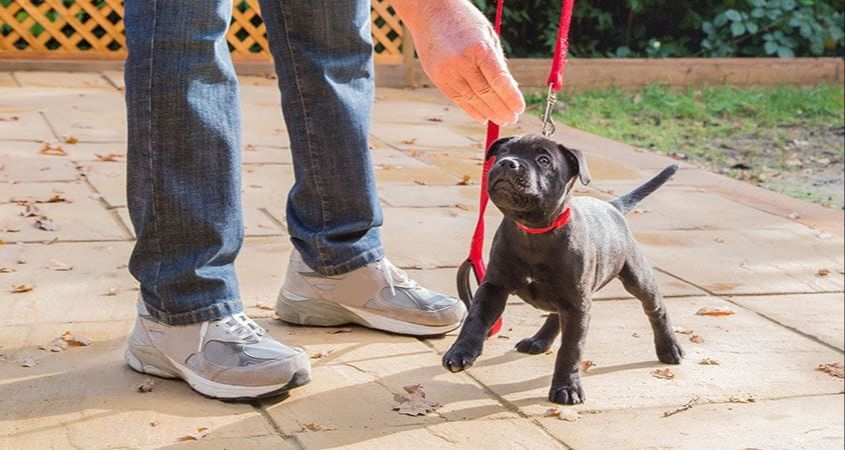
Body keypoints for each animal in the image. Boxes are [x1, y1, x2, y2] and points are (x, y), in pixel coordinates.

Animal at [446, 133, 684, 404]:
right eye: (503, 152)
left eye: (543, 160)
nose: (508, 163)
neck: (534, 231)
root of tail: (613, 206)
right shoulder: (494, 286)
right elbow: (476, 318)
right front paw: (461, 351)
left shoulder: (577, 303)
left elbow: (571, 348)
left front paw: (567, 387)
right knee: (555, 313)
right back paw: (539, 340)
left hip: (635, 277)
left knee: (655, 309)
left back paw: (669, 348)